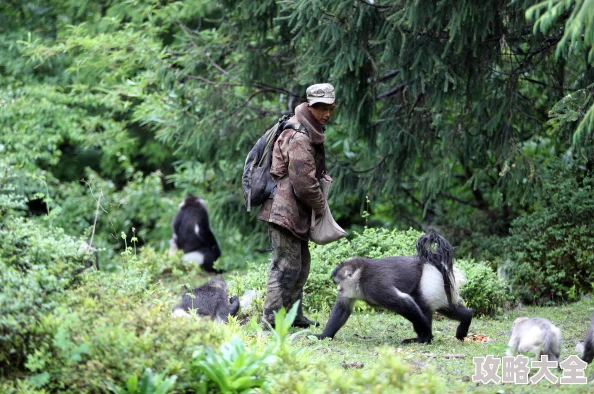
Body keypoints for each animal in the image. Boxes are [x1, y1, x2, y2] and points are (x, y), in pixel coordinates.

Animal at [314, 232, 472, 344]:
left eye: (338, 282)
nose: (338, 288)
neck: (360, 276)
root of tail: (430, 259)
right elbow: (343, 309)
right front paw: (323, 336)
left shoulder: (375, 286)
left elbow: (404, 303)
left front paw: (427, 335)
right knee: (447, 307)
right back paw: (466, 319)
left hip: (429, 281)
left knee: (421, 304)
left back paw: (423, 339)